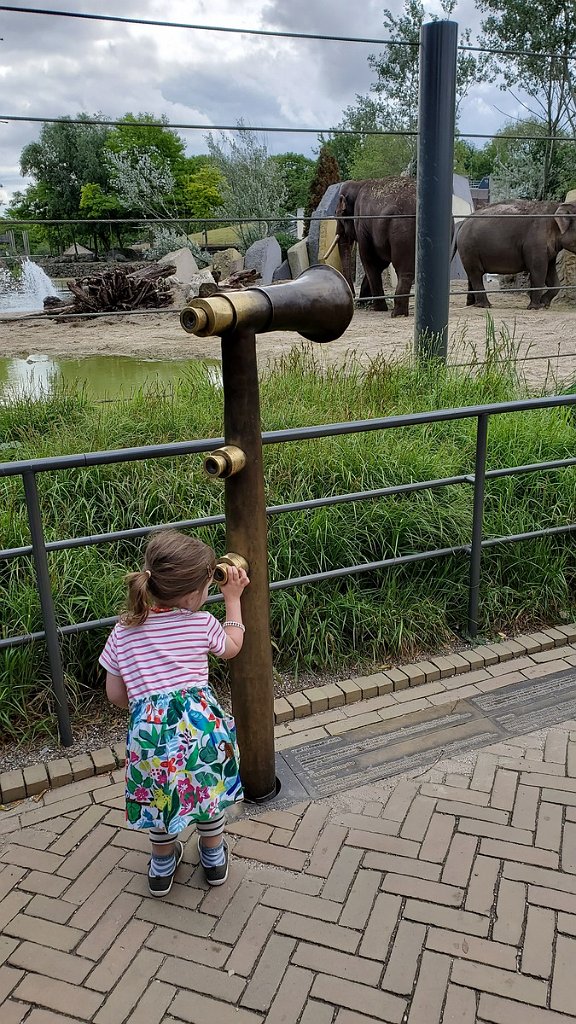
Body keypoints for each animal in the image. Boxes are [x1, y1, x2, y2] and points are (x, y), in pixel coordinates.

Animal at [319, 178, 414, 315]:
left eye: (338, 215)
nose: (353, 296)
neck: (358, 184)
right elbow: (379, 263)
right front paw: (364, 303)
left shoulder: (362, 222)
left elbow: (370, 260)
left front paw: (378, 308)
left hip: (401, 230)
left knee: (403, 270)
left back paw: (397, 313)